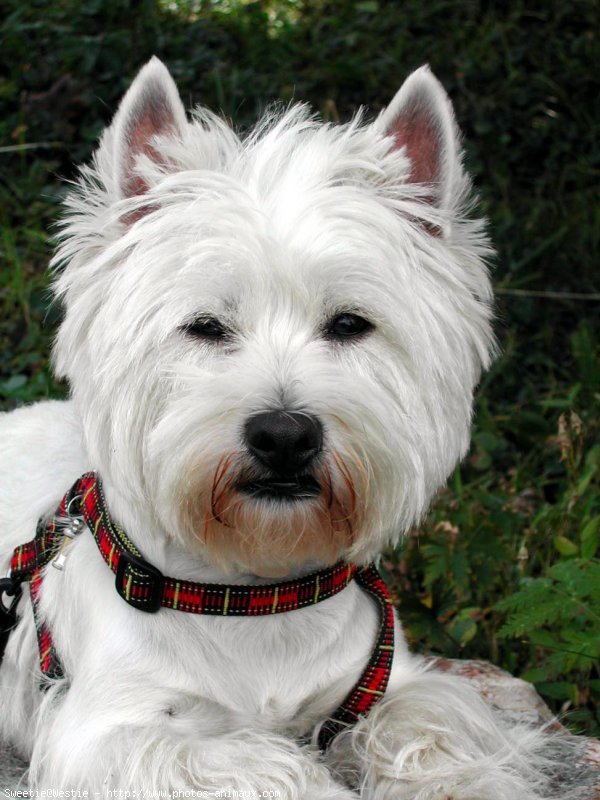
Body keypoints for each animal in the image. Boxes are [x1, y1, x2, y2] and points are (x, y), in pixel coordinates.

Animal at [0, 59, 584, 796]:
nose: (284, 436)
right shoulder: (102, 734)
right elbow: (258, 764)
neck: (252, 594)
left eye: (349, 323)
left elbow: (432, 727)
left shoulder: (395, 680)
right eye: (205, 327)